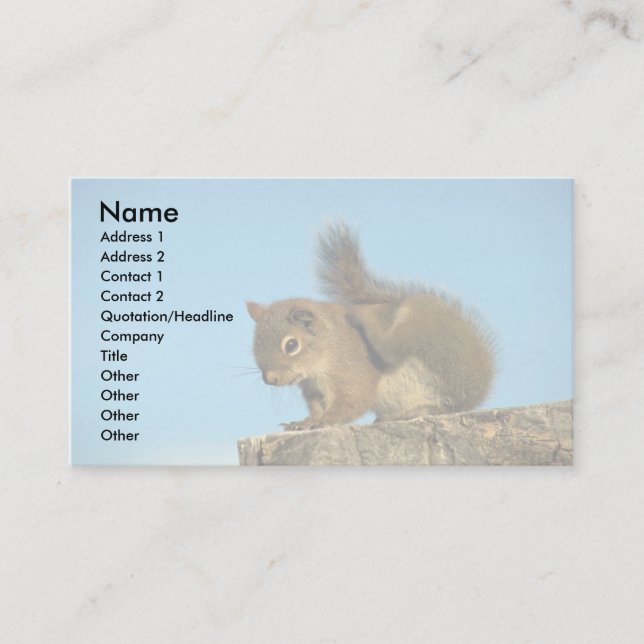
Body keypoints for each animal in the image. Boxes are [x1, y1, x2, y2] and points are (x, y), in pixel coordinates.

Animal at [246, 222, 495, 431]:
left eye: (291, 345)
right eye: (254, 344)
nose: (270, 379)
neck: (326, 351)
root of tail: (477, 387)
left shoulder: (353, 373)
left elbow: (353, 401)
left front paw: (326, 420)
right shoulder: (313, 390)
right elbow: (317, 408)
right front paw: (306, 422)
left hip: (423, 334)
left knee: (394, 350)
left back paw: (364, 315)